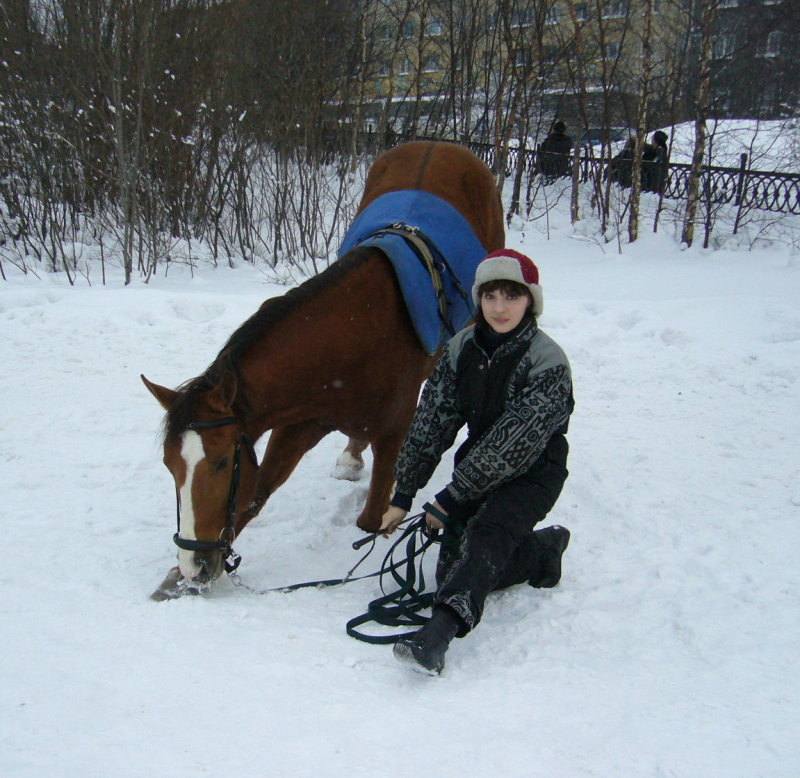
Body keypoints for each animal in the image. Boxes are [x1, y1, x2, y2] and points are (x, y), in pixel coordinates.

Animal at [141, 141, 504, 588]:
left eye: (223, 461)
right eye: (169, 464)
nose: (194, 563)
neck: (351, 340)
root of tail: (443, 146)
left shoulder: (390, 434)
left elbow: (370, 521)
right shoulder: (298, 423)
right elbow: (254, 497)